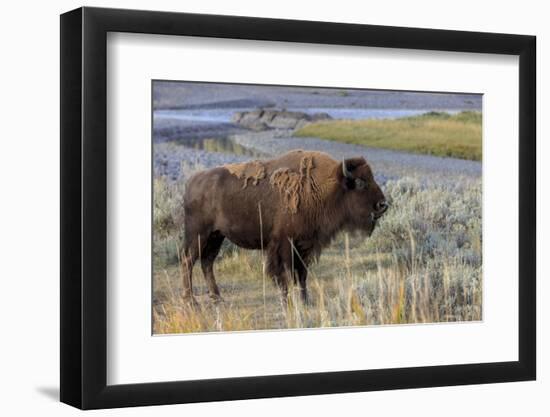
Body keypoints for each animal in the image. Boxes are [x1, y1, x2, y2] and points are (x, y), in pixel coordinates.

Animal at [181, 150, 388, 306]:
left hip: (216, 236)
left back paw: (217, 297)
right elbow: (286, 273)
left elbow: (302, 274)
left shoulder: (305, 245)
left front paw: (305, 301)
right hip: (198, 234)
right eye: (360, 182)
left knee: (207, 262)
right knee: (188, 260)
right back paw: (191, 300)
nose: (383, 205)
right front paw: (287, 300)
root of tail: (191, 182)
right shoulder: (285, 244)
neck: (322, 186)